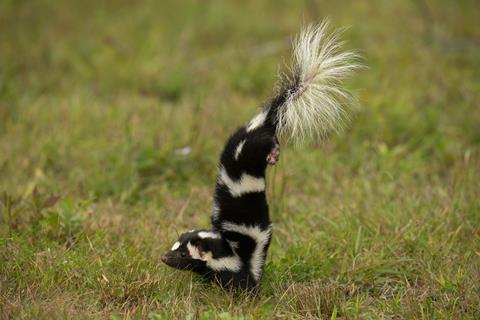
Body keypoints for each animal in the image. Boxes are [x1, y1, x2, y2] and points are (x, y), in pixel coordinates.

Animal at [161, 21, 360, 290]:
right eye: (174, 248)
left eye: (183, 254)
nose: (164, 257)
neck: (229, 252)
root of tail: (261, 122)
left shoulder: (247, 263)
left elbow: (243, 279)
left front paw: (247, 290)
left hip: (260, 144)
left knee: (271, 144)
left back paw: (274, 155)